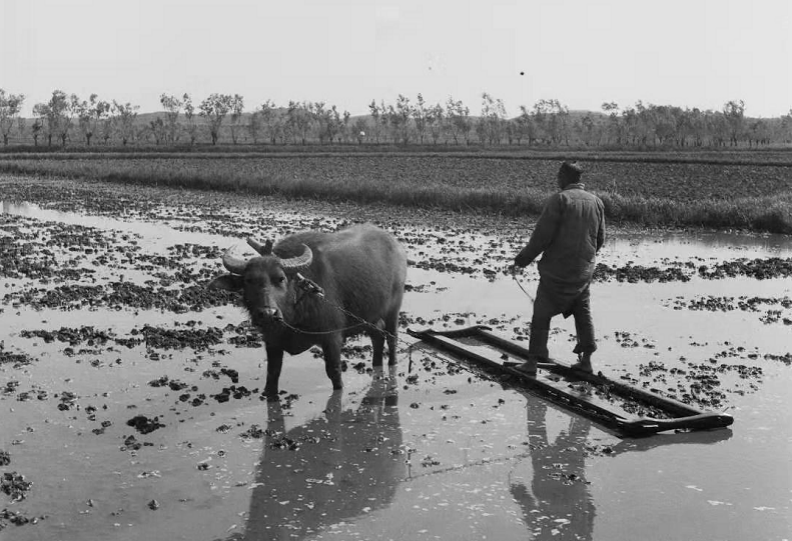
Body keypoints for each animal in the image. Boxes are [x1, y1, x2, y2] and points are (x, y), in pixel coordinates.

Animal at [209, 224, 408, 396]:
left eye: (280, 279)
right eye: (248, 280)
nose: (267, 314)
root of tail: (395, 245)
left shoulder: (332, 337)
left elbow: (334, 372)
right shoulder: (272, 341)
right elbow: (272, 375)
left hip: (394, 309)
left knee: (391, 338)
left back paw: (392, 365)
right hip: (370, 316)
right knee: (377, 336)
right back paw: (376, 367)